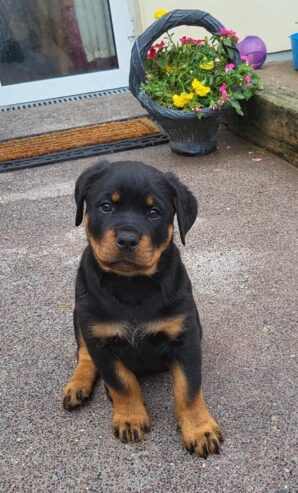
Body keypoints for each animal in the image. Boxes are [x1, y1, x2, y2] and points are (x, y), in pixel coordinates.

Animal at [62, 160, 224, 456]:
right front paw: (130, 418)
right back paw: (78, 385)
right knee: (84, 354)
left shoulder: (185, 337)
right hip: (79, 315)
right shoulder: (100, 340)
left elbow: (188, 388)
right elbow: (122, 383)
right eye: (106, 206)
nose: (127, 239)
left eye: (153, 212)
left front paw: (200, 429)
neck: (132, 286)